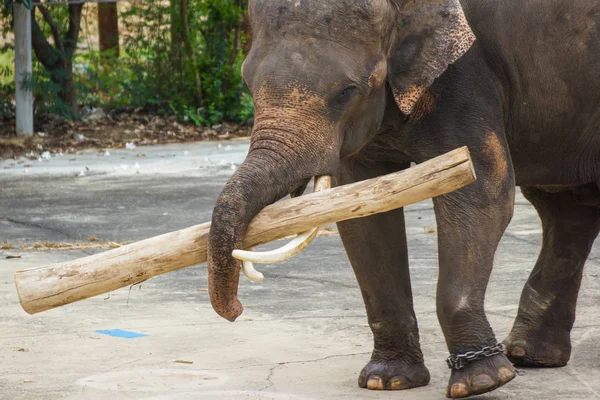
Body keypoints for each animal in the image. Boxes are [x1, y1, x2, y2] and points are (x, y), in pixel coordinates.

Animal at [205, 1, 600, 398]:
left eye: (347, 91)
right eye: (247, 83)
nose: (237, 310)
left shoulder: (466, 75)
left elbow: (483, 193)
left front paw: (483, 382)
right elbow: (362, 212)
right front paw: (387, 380)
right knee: (565, 207)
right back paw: (531, 356)